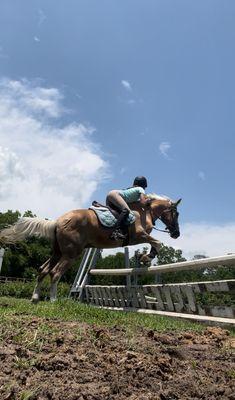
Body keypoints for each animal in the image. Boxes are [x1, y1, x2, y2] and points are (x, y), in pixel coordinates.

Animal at [0, 195, 181, 304]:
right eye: (177, 213)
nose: (176, 234)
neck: (145, 211)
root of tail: (58, 221)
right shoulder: (139, 235)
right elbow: (157, 243)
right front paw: (146, 257)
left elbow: (155, 243)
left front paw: (144, 257)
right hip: (71, 254)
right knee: (55, 273)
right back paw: (53, 300)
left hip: (57, 252)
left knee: (43, 270)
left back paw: (35, 297)